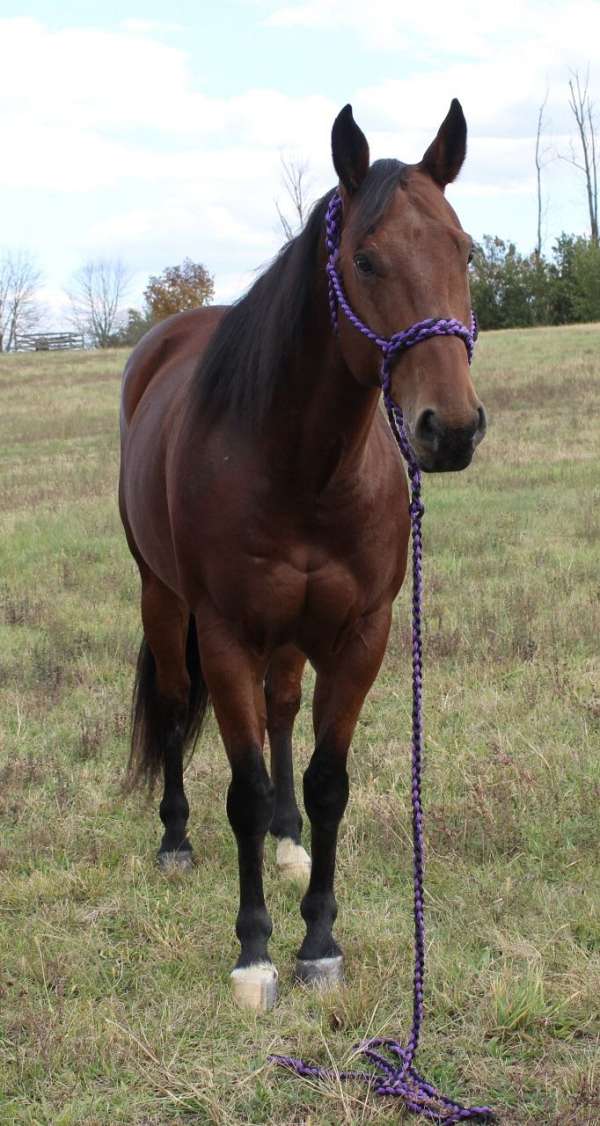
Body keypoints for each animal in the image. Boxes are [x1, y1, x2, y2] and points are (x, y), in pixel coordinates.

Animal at [119, 99, 486, 1012]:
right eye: (366, 258)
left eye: (464, 250)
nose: (452, 429)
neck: (302, 467)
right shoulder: (223, 634)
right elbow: (243, 790)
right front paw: (254, 953)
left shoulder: (362, 635)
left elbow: (326, 783)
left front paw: (319, 940)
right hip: (162, 597)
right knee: (174, 708)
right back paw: (175, 841)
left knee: (282, 710)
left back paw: (287, 843)